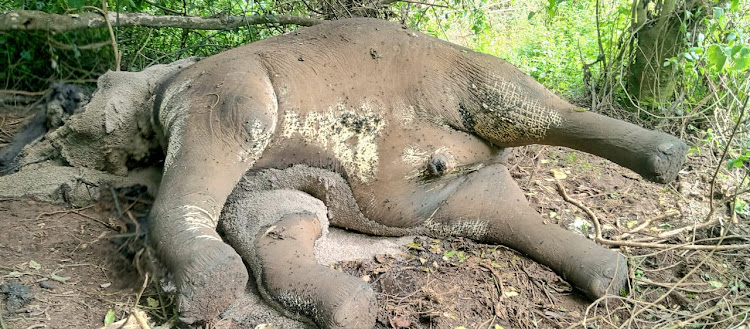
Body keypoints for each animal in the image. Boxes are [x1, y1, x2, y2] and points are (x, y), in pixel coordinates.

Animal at [135, 18, 688, 328]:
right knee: (494, 204)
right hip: (438, 193)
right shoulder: (263, 179)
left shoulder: (224, 105)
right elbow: (278, 223)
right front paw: (346, 306)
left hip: (462, 74)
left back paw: (666, 156)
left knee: (535, 109)